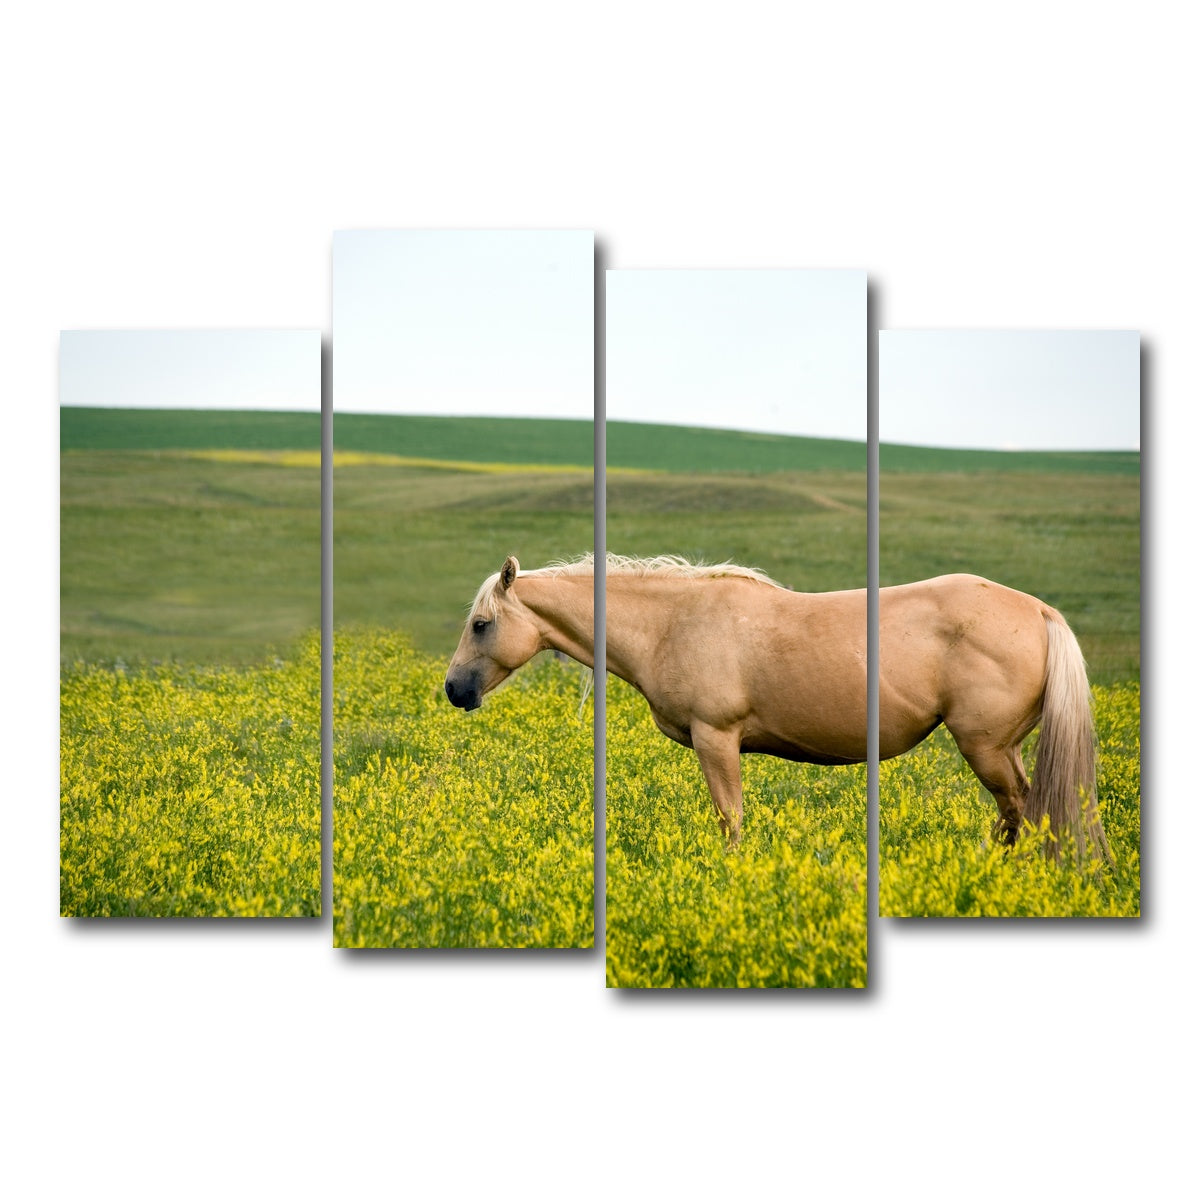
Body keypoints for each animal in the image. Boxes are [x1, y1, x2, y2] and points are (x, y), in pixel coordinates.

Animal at [444, 554, 1108, 859]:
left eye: (480, 624)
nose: (454, 690)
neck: (672, 623)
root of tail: (1039, 611)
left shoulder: (716, 739)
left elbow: (730, 820)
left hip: (986, 747)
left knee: (1021, 808)